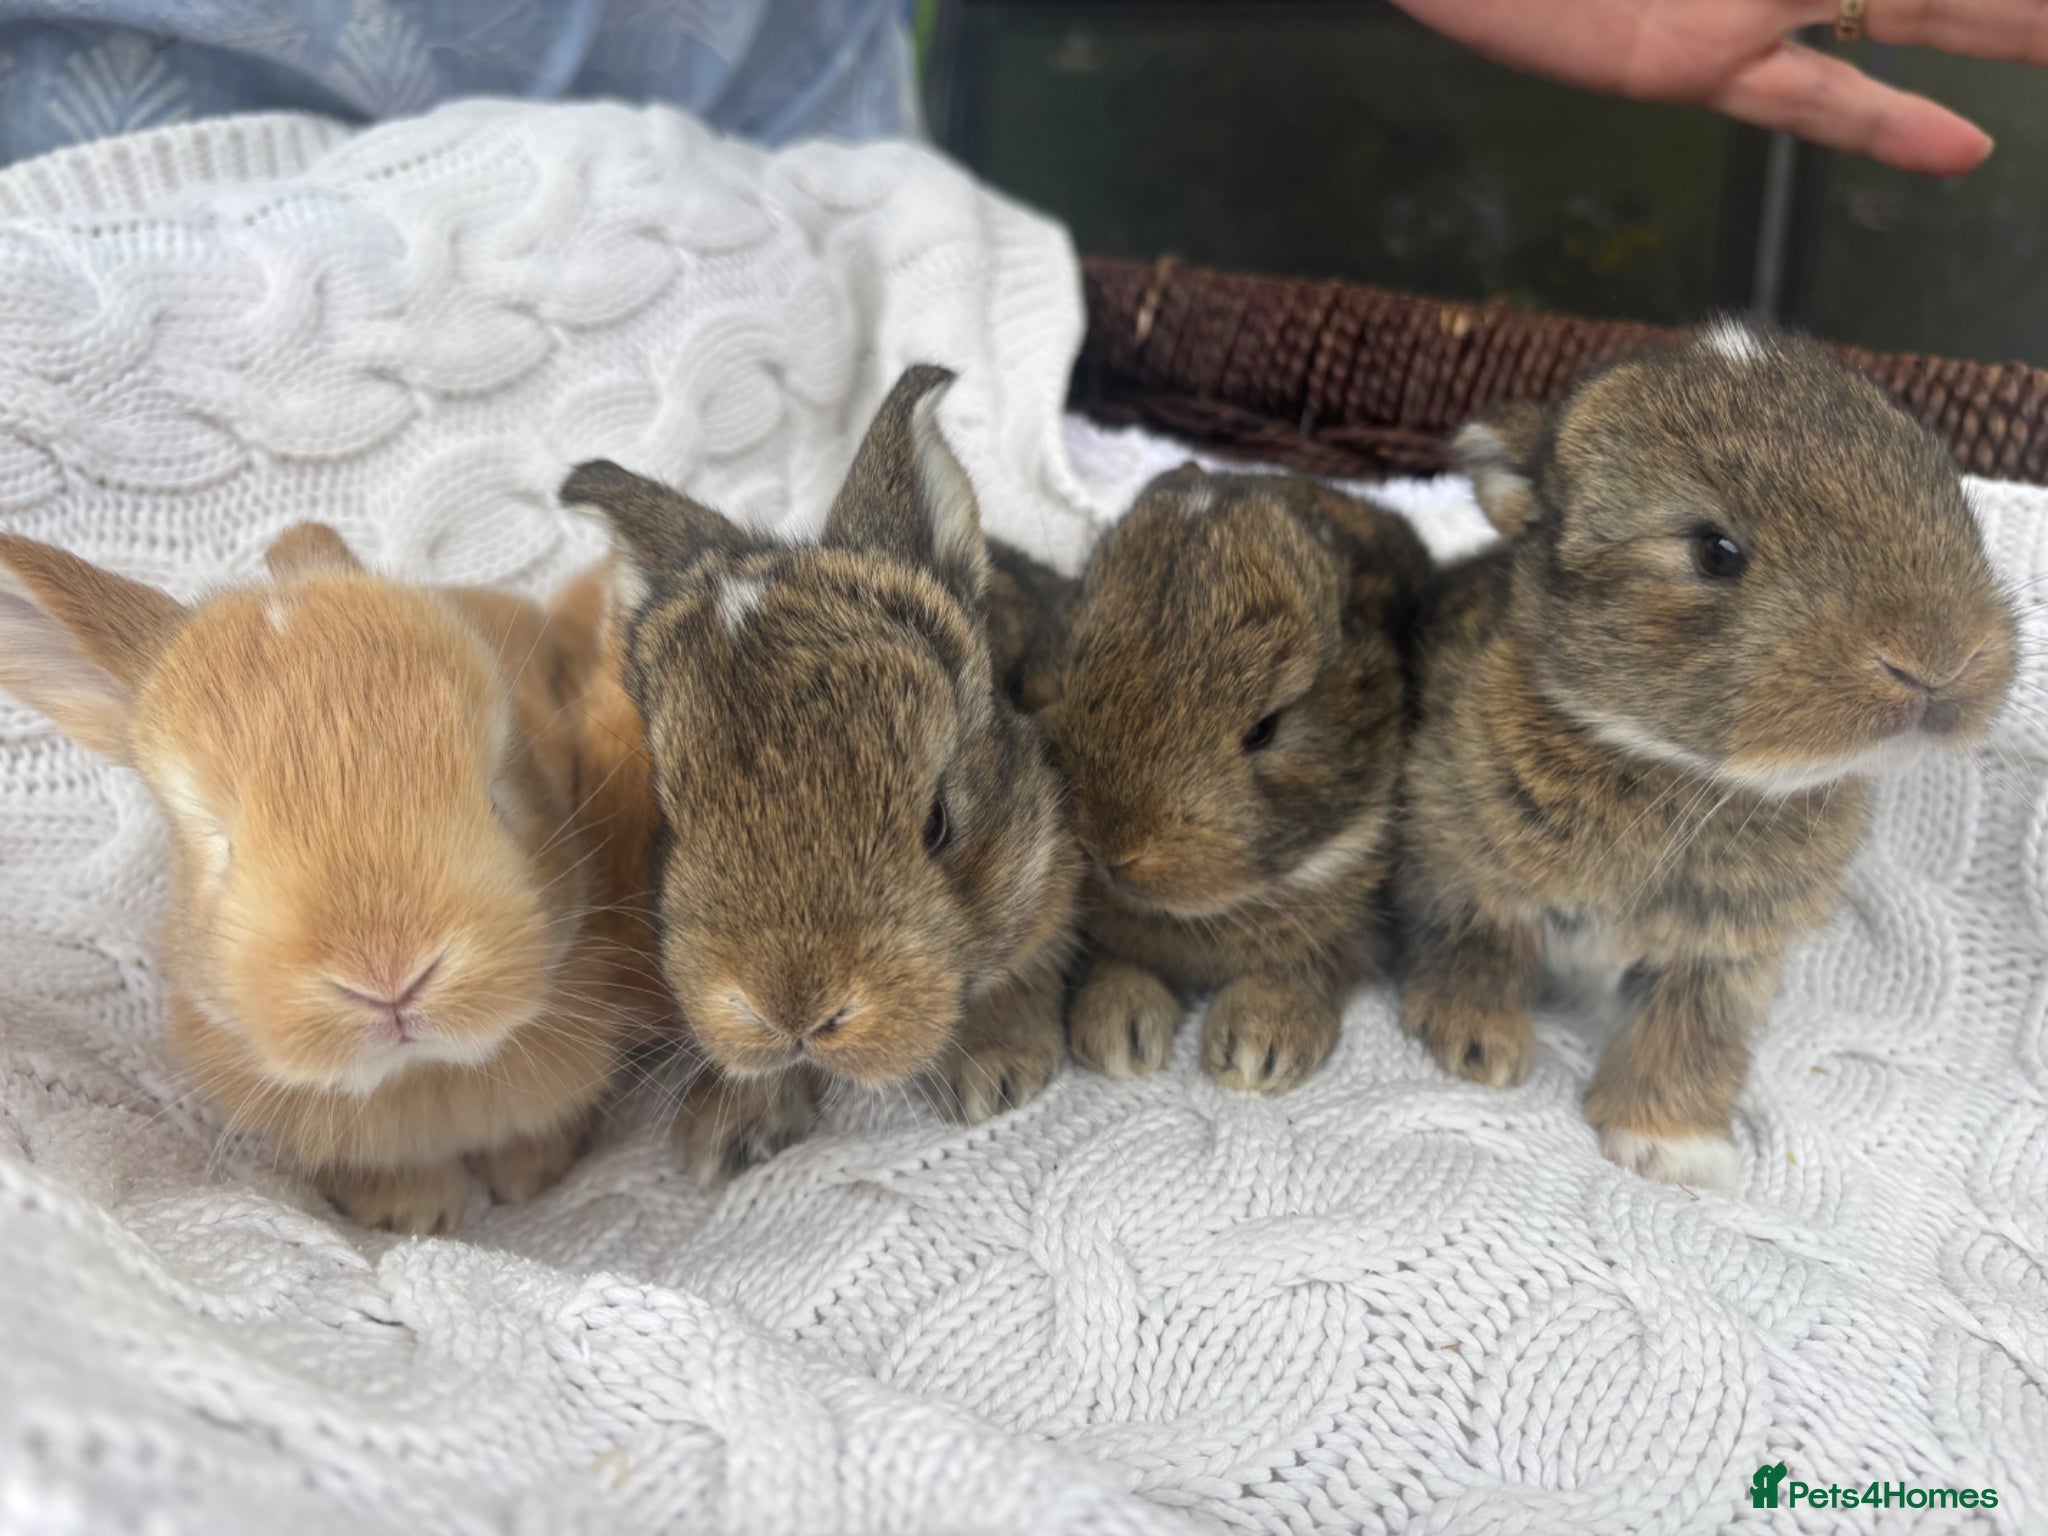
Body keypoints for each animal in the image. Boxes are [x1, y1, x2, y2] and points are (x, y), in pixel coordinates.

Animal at [0, 522, 666, 1233]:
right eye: (220, 846)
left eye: (499, 794)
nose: (389, 980)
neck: (421, 1074)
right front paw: (413, 1214)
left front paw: (529, 1179)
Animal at [559, 363, 1082, 1181]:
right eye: (670, 822)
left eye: (938, 824)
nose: (794, 1009)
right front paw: (722, 1134)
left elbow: (1020, 969)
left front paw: (996, 1073)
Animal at [1032, 464, 1433, 1093]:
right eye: (1070, 670)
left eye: (1265, 729)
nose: (1113, 851)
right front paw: (1119, 1032)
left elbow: (1306, 967)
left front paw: (1256, 1050)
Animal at [1404, 319, 2017, 1188]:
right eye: (1715, 551)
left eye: (1950, 499)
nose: (1940, 659)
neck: (1680, 769)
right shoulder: (1460, 858)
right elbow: (1477, 942)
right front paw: (1477, 1046)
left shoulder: (1725, 953)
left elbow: (1689, 1034)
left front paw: (1672, 1152)